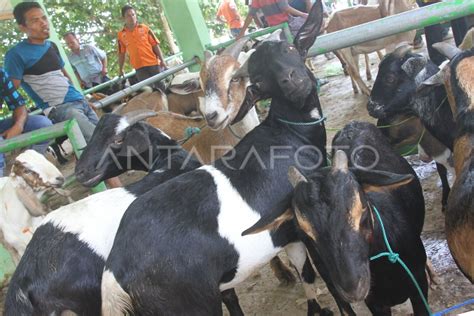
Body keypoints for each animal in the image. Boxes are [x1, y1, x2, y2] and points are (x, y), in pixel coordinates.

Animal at [100, 1, 336, 314]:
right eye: (259, 80)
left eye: (292, 49)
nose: (290, 80)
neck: (288, 134)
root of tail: (116, 275)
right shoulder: (295, 225)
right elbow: (307, 271)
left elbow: (304, 272)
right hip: (191, 302)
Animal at [244, 120, 430, 314]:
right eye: (305, 232)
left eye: (362, 209)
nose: (353, 290)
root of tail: (352, 124)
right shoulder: (373, 302)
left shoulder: (419, 286)